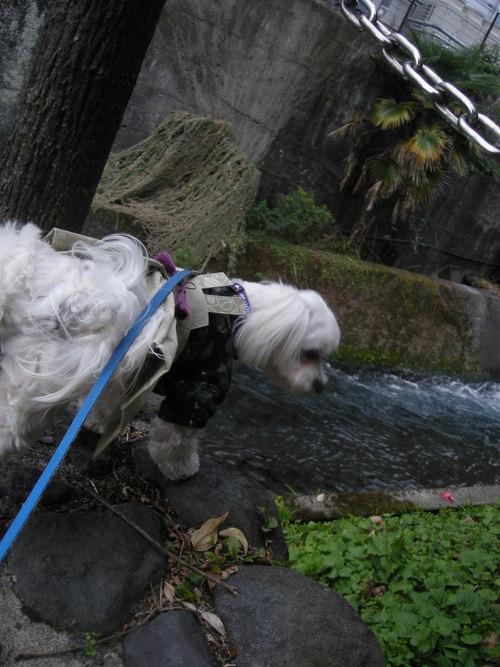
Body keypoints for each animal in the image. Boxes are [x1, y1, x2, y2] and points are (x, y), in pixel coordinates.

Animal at [0, 224, 340, 480]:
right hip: (39, 379)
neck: (237, 314)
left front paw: (96, 423)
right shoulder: (199, 385)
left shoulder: (125, 374)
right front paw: (183, 469)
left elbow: (107, 403)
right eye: (311, 353)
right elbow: (176, 436)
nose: (321, 385)